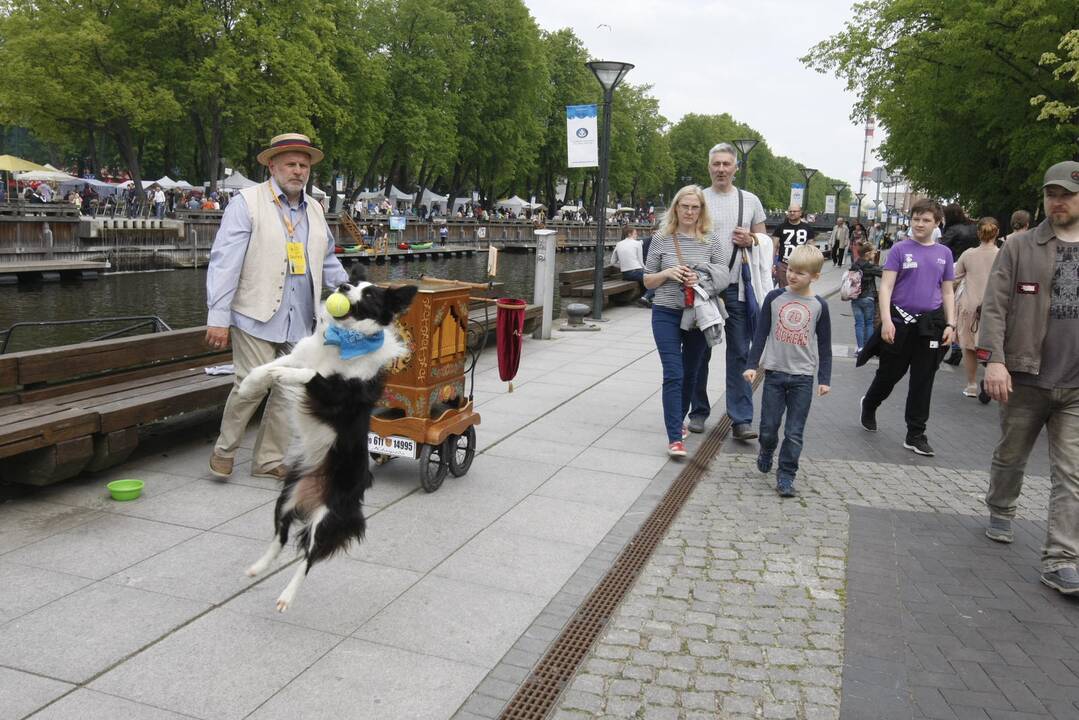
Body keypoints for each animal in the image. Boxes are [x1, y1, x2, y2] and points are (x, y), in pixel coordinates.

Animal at [240, 267, 416, 613]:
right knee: (280, 537)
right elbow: (268, 367)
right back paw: (258, 567)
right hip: (287, 495)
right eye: (353, 282)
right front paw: (248, 385)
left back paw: (286, 596)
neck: (344, 340)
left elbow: (310, 375)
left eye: (370, 295)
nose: (344, 286)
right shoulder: (300, 356)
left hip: (327, 518)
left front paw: (286, 378)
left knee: (308, 558)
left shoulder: (340, 394)